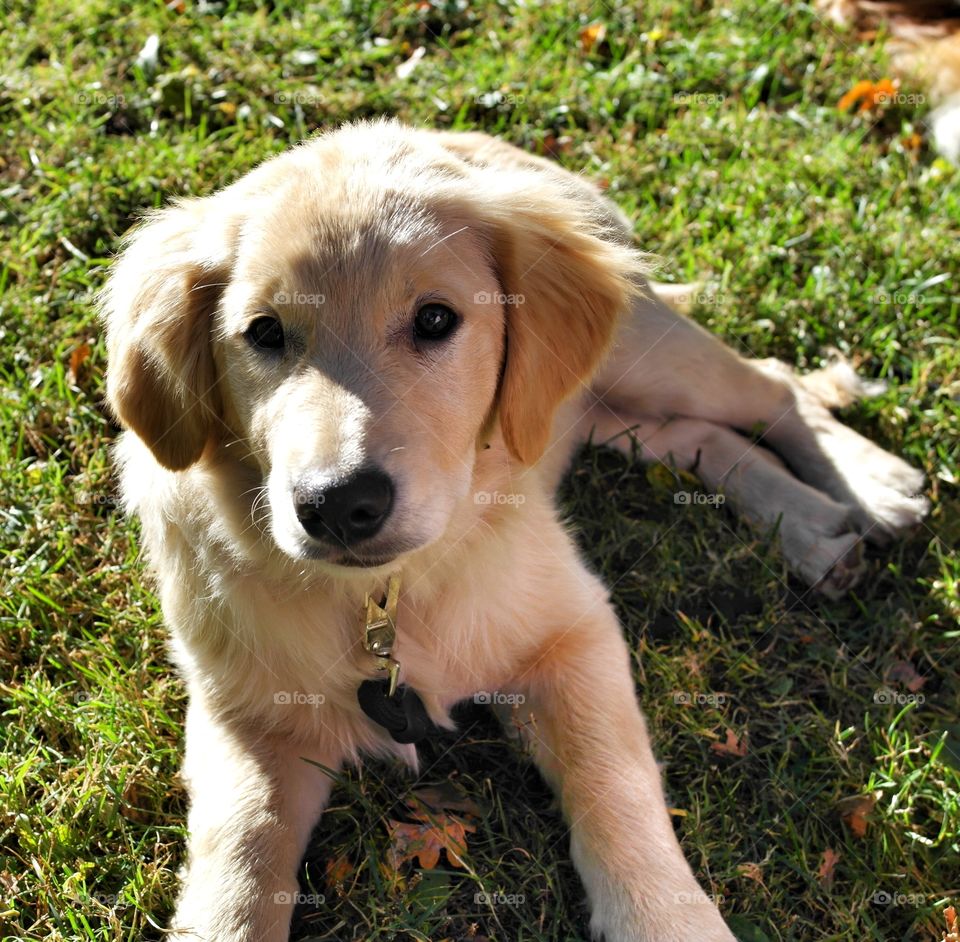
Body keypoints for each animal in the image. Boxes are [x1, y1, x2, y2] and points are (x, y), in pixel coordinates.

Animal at [101, 121, 928, 940]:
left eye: (436, 319)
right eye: (264, 333)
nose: (339, 505)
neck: (386, 598)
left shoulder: (572, 631)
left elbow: (609, 780)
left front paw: (662, 915)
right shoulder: (244, 714)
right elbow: (240, 859)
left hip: (646, 355)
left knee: (771, 385)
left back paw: (868, 486)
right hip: (591, 409)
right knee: (698, 437)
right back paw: (817, 532)